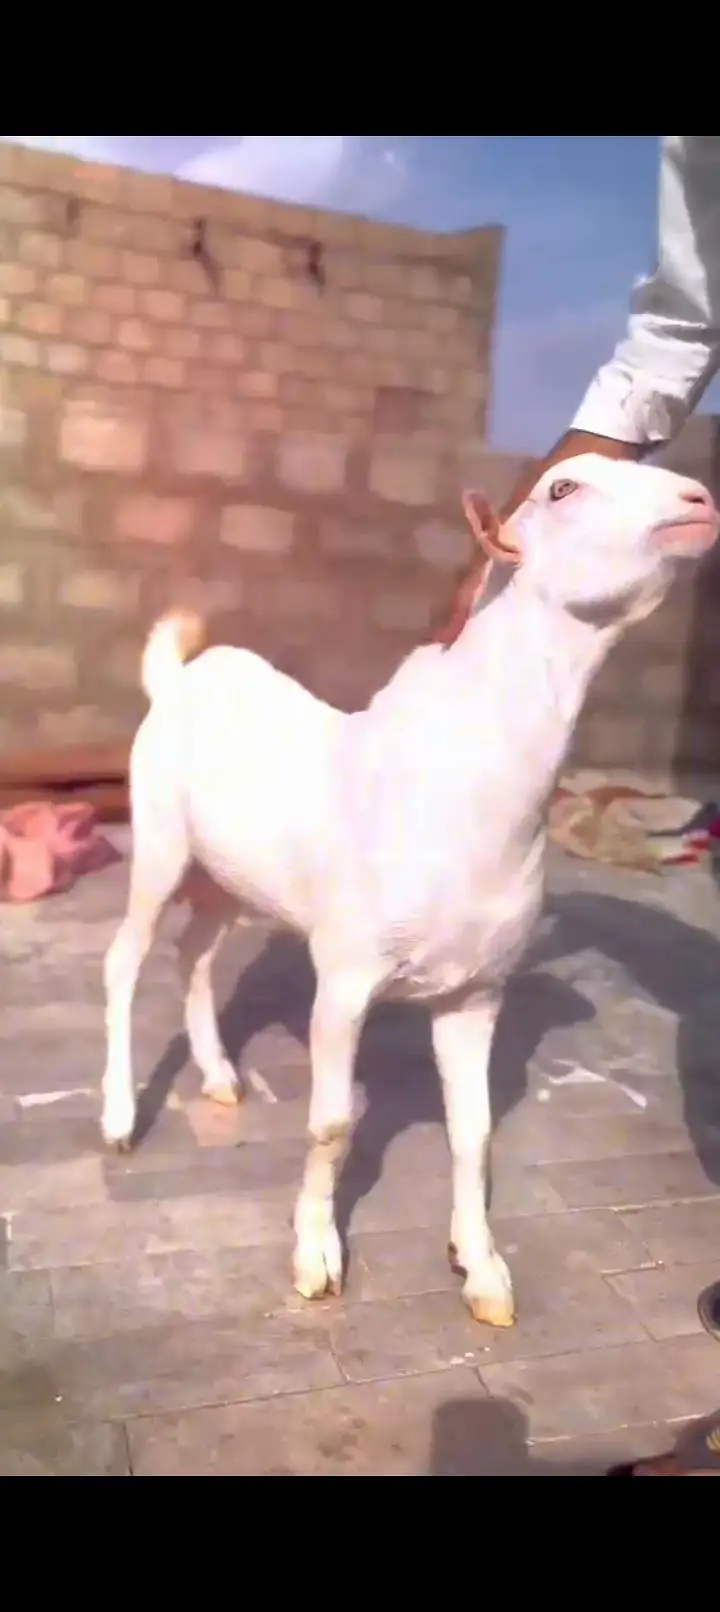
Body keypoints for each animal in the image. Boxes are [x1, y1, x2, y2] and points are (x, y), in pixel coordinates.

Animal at [100, 454, 719, 1328]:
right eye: (563, 489)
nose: (700, 501)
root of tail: (179, 679)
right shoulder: (344, 978)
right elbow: (330, 1126)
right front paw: (316, 1258)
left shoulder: (476, 992)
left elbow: (475, 1132)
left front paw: (482, 1269)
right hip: (158, 842)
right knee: (126, 959)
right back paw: (120, 1117)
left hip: (228, 877)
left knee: (196, 952)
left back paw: (219, 1076)